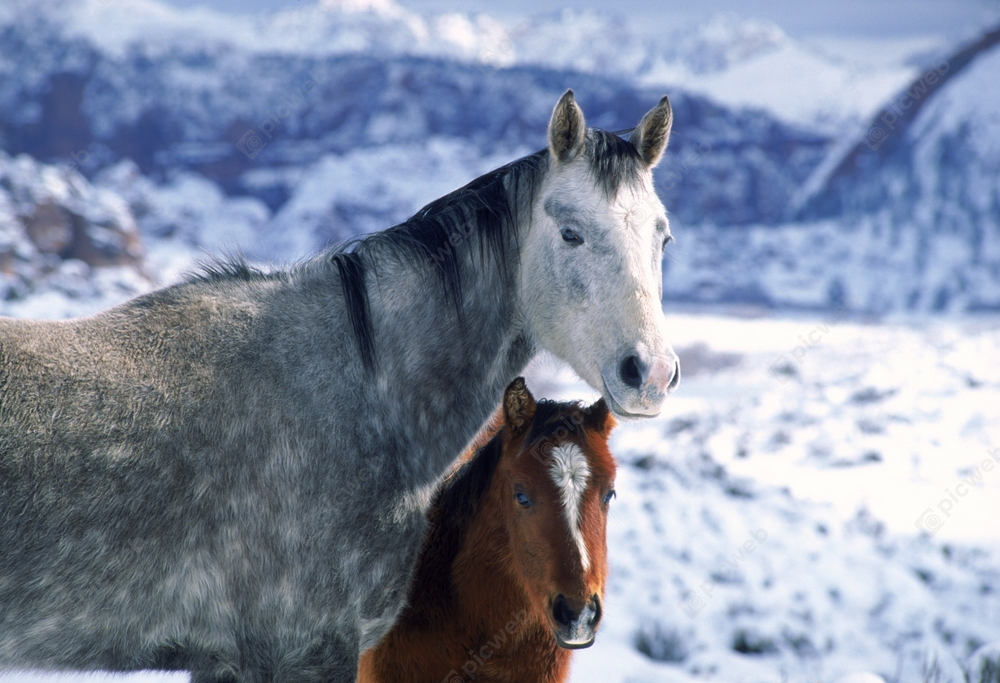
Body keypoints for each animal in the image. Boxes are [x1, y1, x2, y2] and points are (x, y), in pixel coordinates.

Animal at [0, 91, 680, 683]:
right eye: (570, 233)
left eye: (663, 236)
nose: (649, 372)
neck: (364, 396)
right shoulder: (308, 649)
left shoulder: (223, 660)